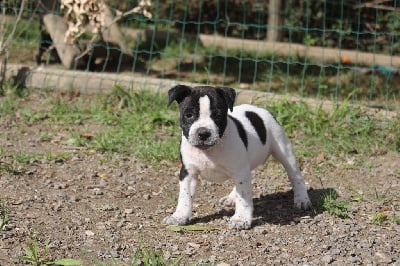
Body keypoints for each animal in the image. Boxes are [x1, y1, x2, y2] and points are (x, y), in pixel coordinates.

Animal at [163, 84, 312, 229]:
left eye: (217, 115)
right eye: (189, 115)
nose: (203, 133)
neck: (209, 151)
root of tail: (260, 109)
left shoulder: (240, 170)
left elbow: (244, 197)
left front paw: (241, 219)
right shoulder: (188, 173)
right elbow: (185, 196)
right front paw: (180, 216)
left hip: (284, 151)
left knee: (295, 177)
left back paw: (302, 199)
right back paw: (231, 198)